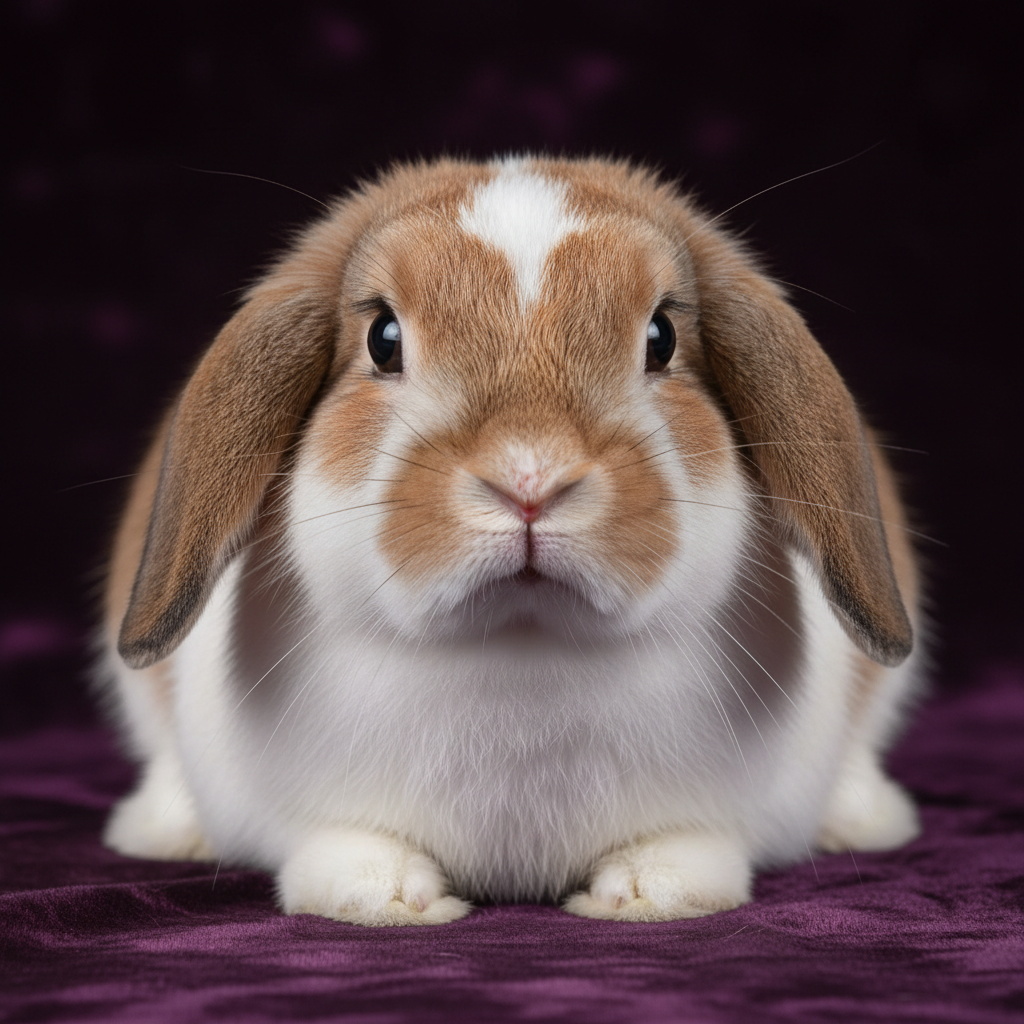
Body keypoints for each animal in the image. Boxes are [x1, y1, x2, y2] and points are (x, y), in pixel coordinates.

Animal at [99, 155, 923, 926]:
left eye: (661, 338)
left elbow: (682, 851)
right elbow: (346, 848)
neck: (522, 643)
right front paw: (387, 898)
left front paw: (646, 894)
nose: (530, 479)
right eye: (383, 338)